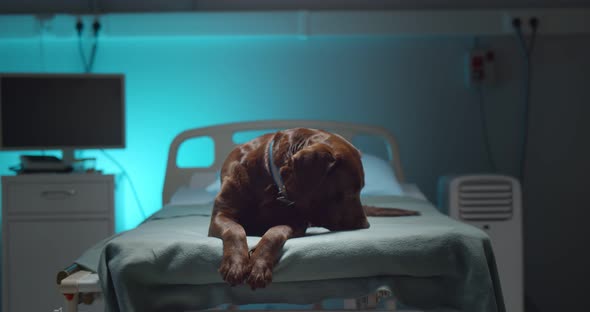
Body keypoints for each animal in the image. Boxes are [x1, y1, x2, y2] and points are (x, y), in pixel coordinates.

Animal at [210, 128, 418, 288]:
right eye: (350, 192)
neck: (269, 176)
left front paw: (258, 264)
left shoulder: (296, 222)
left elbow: (274, 232)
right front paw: (236, 264)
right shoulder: (221, 215)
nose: (365, 225)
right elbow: (235, 230)